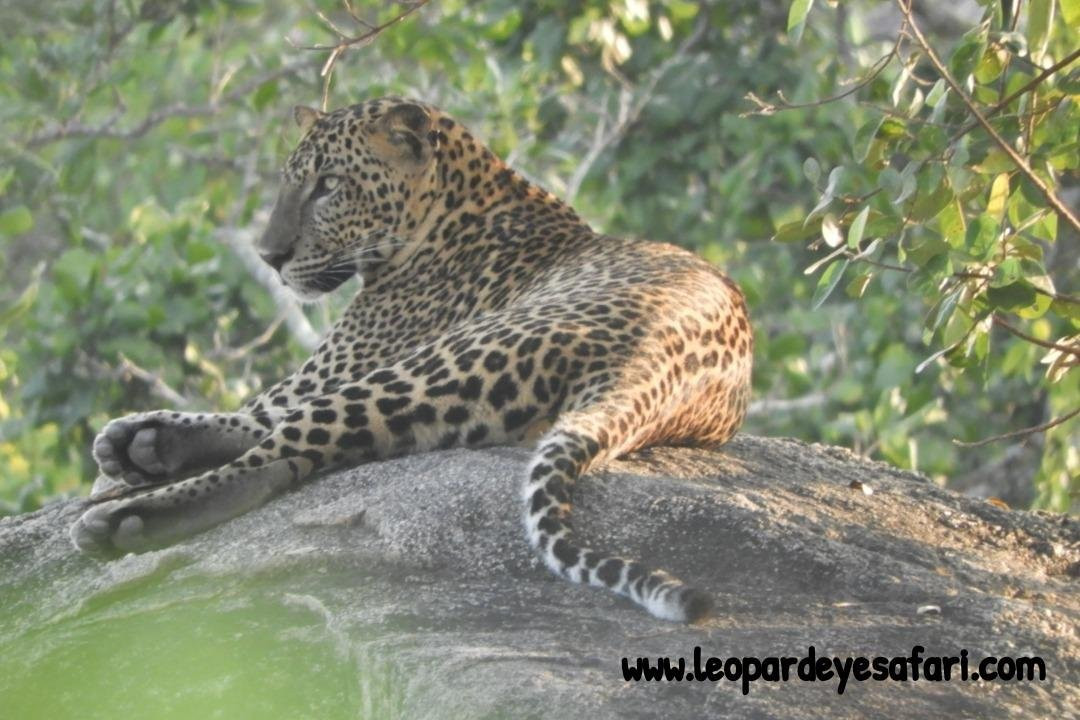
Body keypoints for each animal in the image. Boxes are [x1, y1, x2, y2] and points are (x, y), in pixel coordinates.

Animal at [70, 97, 753, 623]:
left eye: (327, 187)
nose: (268, 257)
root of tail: (657, 362)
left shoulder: (337, 364)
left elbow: (261, 408)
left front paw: (132, 450)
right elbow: (248, 414)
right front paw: (138, 438)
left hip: (443, 360)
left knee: (283, 456)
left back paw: (123, 522)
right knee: (305, 444)